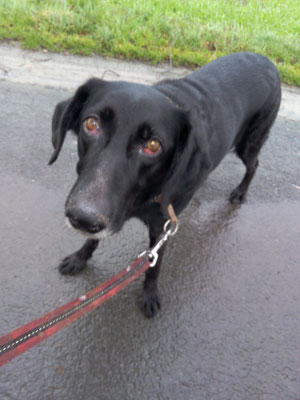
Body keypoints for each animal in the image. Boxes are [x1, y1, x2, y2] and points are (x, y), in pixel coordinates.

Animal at [49, 51, 282, 318]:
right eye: (91, 124)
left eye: (153, 145)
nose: (82, 219)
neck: (142, 200)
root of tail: (266, 59)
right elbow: (92, 240)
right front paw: (80, 258)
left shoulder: (162, 229)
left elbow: (153, 266)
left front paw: (150, 296)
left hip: (249, 143)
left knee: (254, 165)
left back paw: (240, 193)